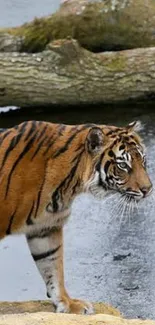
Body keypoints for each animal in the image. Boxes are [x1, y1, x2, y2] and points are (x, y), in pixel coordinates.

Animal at [0, 119, 151, 314]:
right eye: (123, 165)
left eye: (143, 160)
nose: (148, 189)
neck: (70, 181)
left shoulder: (45, 227)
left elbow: (52, 267)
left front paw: (68, 303)